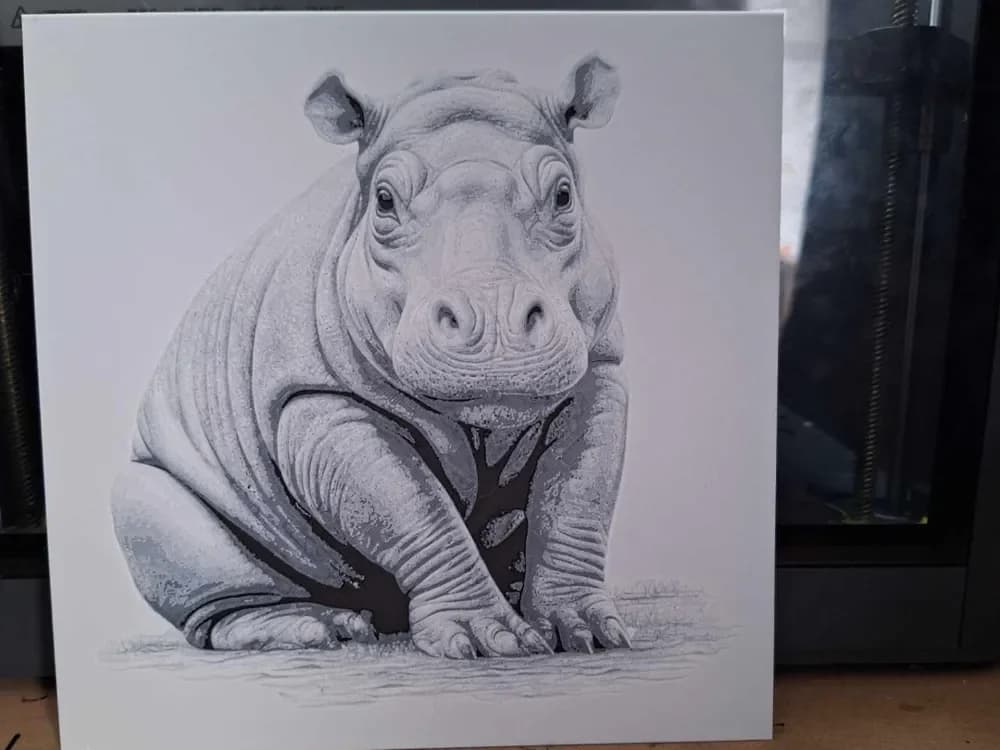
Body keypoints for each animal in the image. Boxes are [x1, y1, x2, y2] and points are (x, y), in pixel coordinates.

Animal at [110, 53, 629, 659]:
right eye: (383, 201)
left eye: (565, 196)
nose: (495, 332)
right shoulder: (314, 396)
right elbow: (416, 508)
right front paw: (487, 641)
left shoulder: (600, 367)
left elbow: (578, 496)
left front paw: (591, 631)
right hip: (159, 465)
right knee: (161, 518)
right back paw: (320, 627)